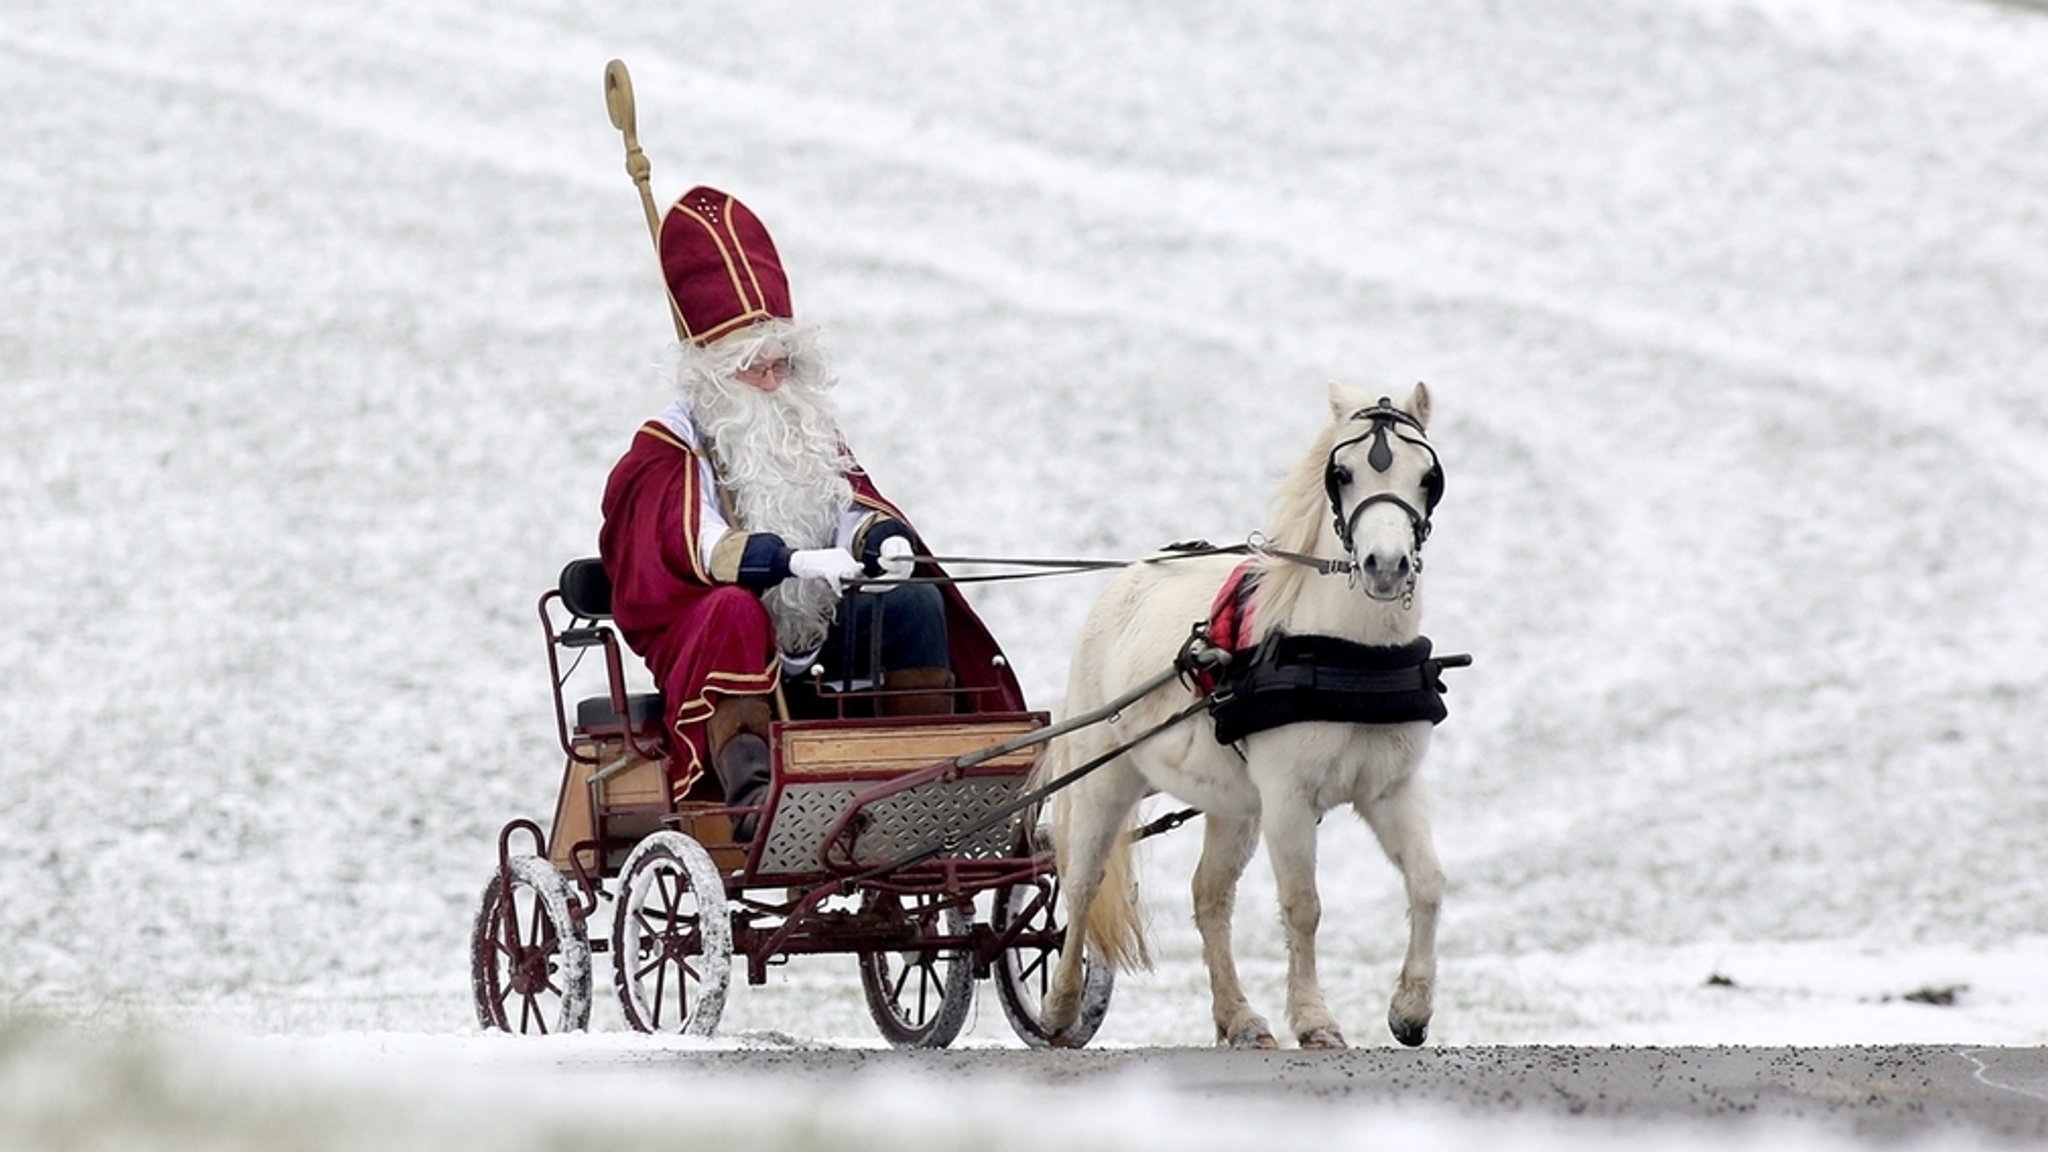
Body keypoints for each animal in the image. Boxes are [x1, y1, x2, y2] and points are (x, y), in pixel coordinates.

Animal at [1040, 381, 1458, 1045]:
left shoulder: (1391, 788)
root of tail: (1129, 577)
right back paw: (1059, 1008)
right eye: (1342, 473)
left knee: (1209, 897)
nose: (1386, 565)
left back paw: (1238, 1017)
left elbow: (1428, 882)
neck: (1350, 654)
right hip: (1106, 776)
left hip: (1234, 806)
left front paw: (1411, 1009)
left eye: (1428, 476)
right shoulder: (1288, 798)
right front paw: (1315, 1020)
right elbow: (1303, 906)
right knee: (1081, 882)